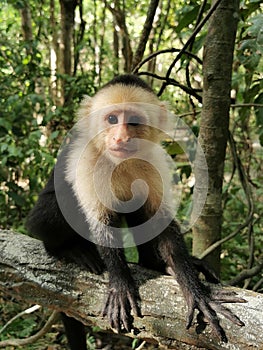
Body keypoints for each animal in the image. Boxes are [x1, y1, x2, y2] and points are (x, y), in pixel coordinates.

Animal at [26, 73, 245, 348]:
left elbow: (161, 223)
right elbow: (101, 222)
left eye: (133, 122)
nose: (120, 138)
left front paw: (195, 290)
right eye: (111, 119)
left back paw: (155, 264)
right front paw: (120, 284)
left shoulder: (154, 161)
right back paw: (68, 249)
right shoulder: (87, 160)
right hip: (39, 219)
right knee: (58, 206)